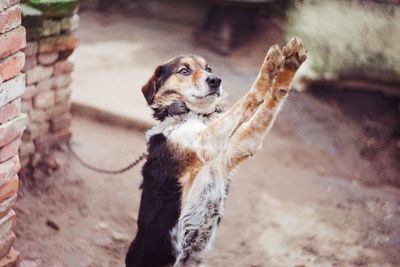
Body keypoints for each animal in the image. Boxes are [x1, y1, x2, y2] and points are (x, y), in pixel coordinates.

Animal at [126, 36, 308, 266]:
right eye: (184, 70)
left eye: (208, 68)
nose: (215, 80)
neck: (192, 114)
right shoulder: (203, 143)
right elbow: (249, 98)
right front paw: (268, 70)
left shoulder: (242, 145)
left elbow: (269, 104)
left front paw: (288, 66)